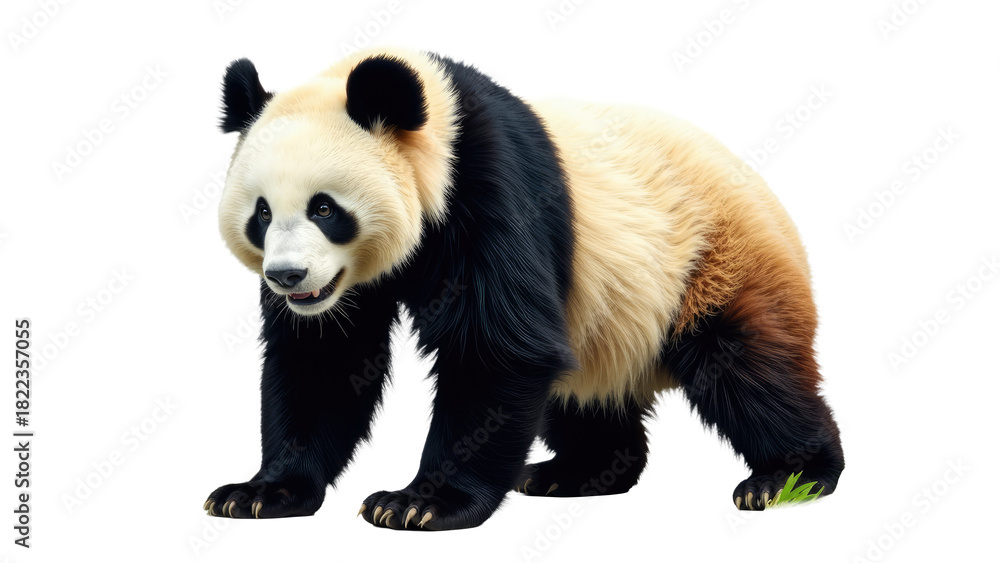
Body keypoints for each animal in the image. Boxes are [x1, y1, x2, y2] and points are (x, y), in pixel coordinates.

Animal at [205, 47, 844, 530]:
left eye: (325, 208)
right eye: (262, 213)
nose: (287, 277)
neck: (435, 129)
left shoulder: (490, 188)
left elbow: (497, 351)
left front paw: (419, 504)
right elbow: (322, 360)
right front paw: (260, 493)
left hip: (710, 255)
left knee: (747, 367)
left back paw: (788, 477)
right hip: (605, 313)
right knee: (586, 389)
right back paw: (577, 470)